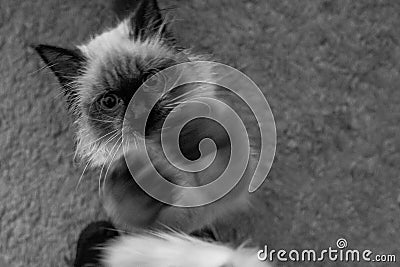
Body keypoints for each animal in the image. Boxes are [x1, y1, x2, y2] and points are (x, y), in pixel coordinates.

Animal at [34, 0, 268, 266]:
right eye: (110, 101)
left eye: (151, 80)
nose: (140, 109)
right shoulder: (155, 227)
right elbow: (133, 204)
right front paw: (138, 178)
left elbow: (217, 158)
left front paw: (195, 135)